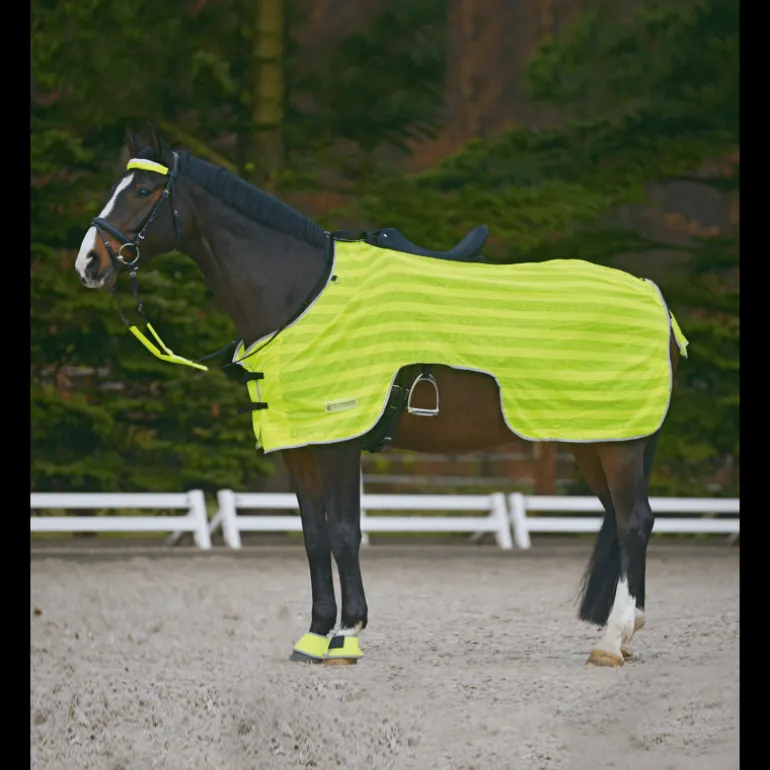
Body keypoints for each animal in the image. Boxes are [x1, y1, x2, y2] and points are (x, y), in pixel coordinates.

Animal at [75, 123, 684, 668]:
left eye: (144, 191)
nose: (89, 262)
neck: (302, 293)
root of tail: (653, 295)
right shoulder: (299, 446)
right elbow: (314, 536)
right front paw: (314, 636)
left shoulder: (340, 441)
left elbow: (346, 533)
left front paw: (347, 636)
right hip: (594, 439)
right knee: (625, 519)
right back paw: (626, 632)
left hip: (618, 443)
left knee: (633, 521)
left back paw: (611, 641)